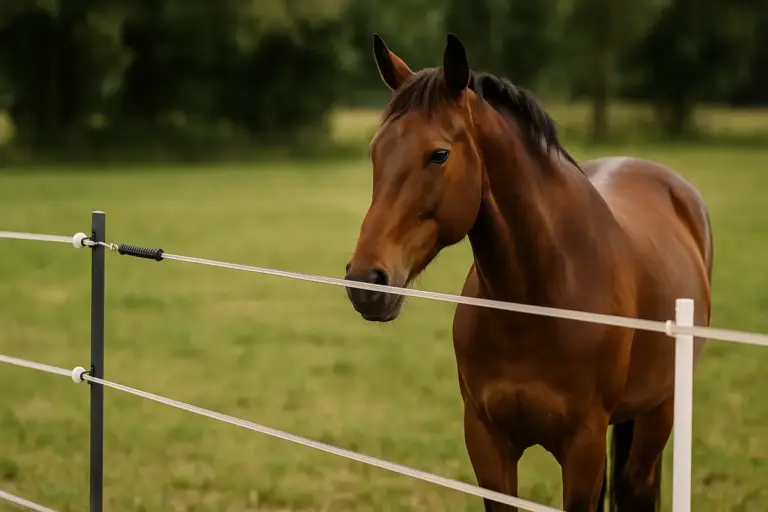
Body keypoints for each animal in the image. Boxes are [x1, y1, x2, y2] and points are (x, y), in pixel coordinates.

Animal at [343, 33, 713, 512]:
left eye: (439, 154)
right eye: (376, 150)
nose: (365, 282)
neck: (537, 302)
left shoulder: (583, 449)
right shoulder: (487, 443)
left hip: (658, 413)